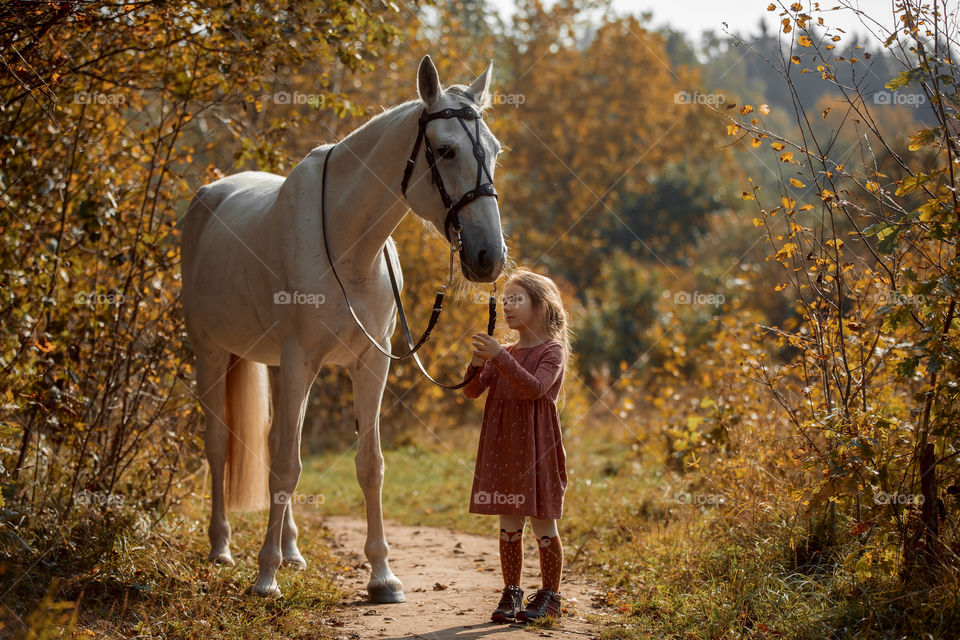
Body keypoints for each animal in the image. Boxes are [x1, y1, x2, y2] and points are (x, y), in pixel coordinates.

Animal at [180, 55, 506, 600]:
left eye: (495, 151)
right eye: (445, 149)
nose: (489, 256)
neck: (349, 244)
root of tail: (210, 195)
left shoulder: (370, 362)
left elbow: (368, 465)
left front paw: (382, 577)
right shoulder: (299, 359)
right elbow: (285, 468)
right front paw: (264, 578)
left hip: (277, 366)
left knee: (275, 439)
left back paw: (292, 550)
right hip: (211, 351)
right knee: (220, 444)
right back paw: (222, 548)